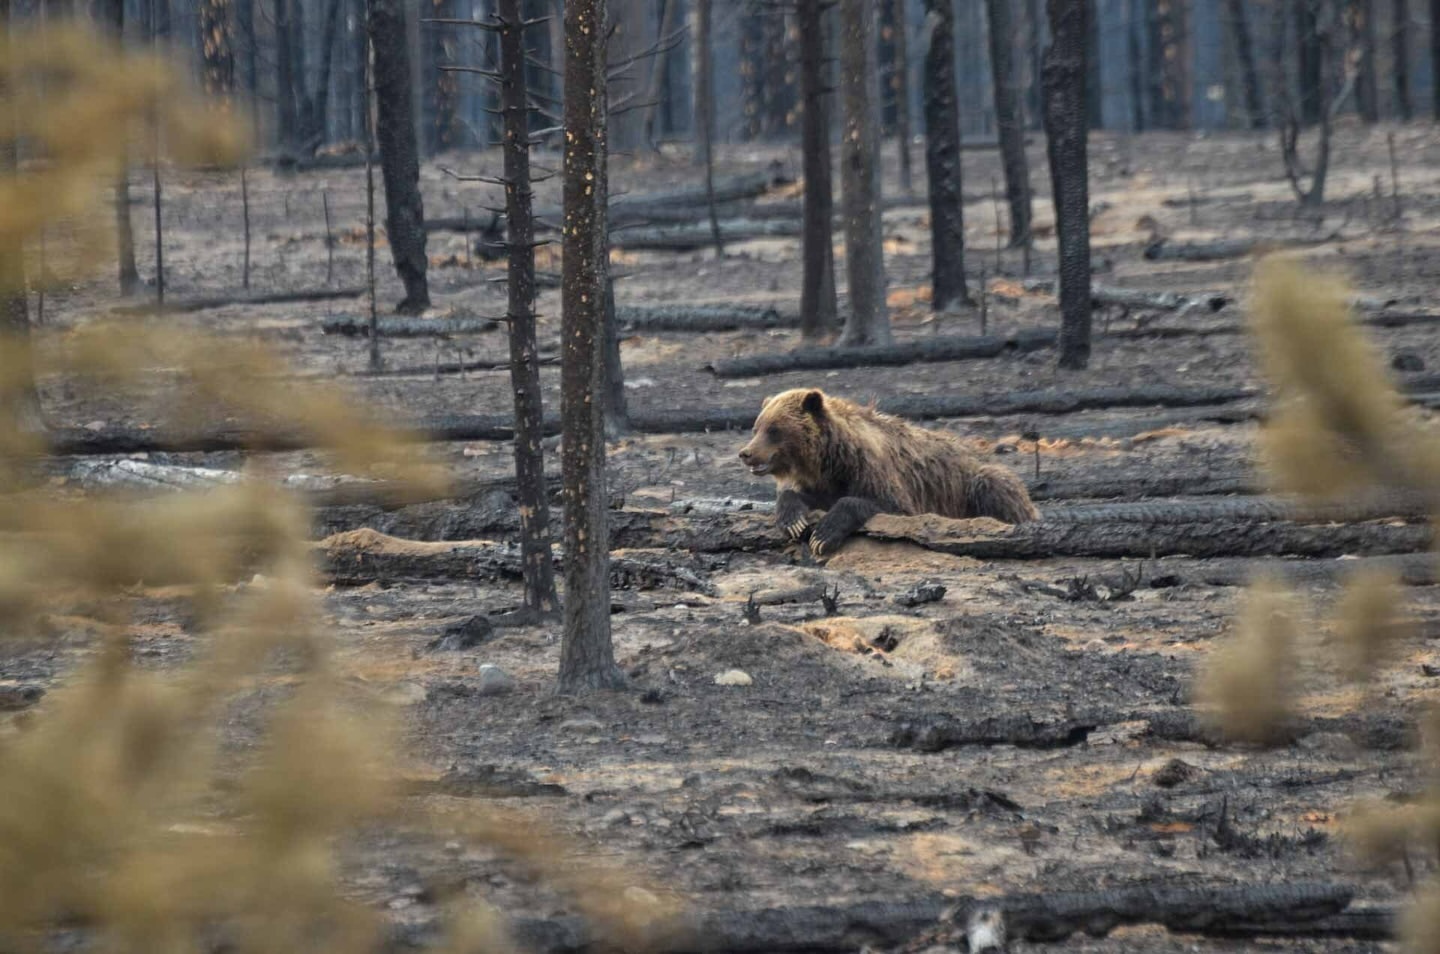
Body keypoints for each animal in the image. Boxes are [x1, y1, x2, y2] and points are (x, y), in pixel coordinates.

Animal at [737, 387, 1041, 556]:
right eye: (756, 427)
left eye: (774, 429)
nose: (746, 453)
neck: (827, 460)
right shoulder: (819, 483)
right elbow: (797, 497)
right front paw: (793, 521)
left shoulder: (872, 472)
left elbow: (885, 504)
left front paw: (823, 536)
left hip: (974, 482)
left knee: (994, 485)